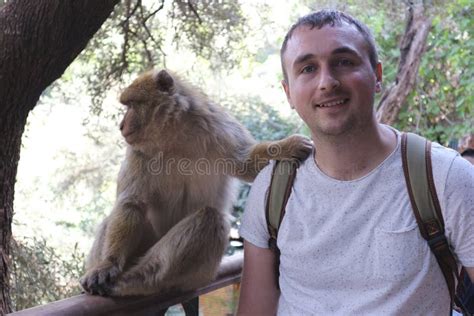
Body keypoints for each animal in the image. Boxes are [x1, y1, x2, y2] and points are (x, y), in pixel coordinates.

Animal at [81, 68, 312, 296]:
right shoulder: (137, 152)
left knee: (210, 218)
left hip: (200, 274)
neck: (173, 136)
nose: (121, 126)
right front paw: (108, 263)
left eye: (131, 105)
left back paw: (137, 280)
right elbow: (131, 202)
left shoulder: (218, 126)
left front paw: (286, 146)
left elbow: (245, 163)